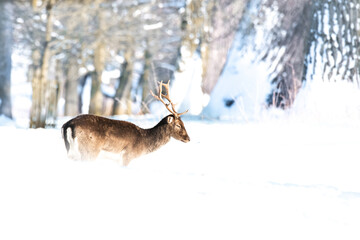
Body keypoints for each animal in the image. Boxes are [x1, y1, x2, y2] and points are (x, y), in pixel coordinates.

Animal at [61, 80, 191, 165]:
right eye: (178, 125)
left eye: (184, 123)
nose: (188, 139)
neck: (144, 143)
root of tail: (69, 125)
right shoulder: (128, 156)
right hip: (89, 151)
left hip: (71, 152)